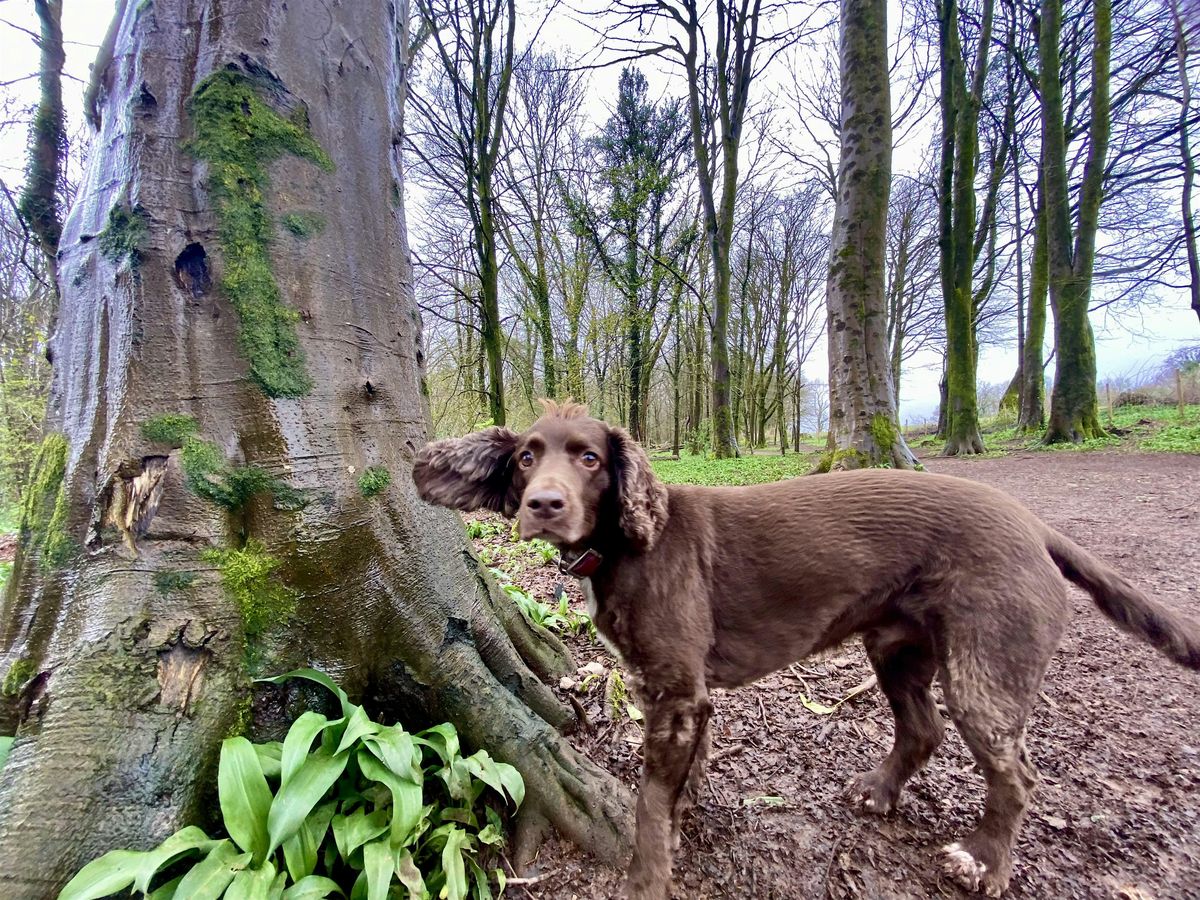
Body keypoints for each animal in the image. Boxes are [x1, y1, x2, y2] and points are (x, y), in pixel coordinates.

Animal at [412, 405, 1200, 897]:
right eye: (525, 457)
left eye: (589, 458)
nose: (542, 505)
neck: (631, 543)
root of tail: (1034, 526)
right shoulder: (677, 693)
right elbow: (682, 781)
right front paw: (686, 820)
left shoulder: (674, 691)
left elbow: (647, 804)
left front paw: (647, 877)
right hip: (897, 647)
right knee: (923, 729)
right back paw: (879, 792)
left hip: (984, 668)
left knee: (1017, 775)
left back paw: (983, 862)